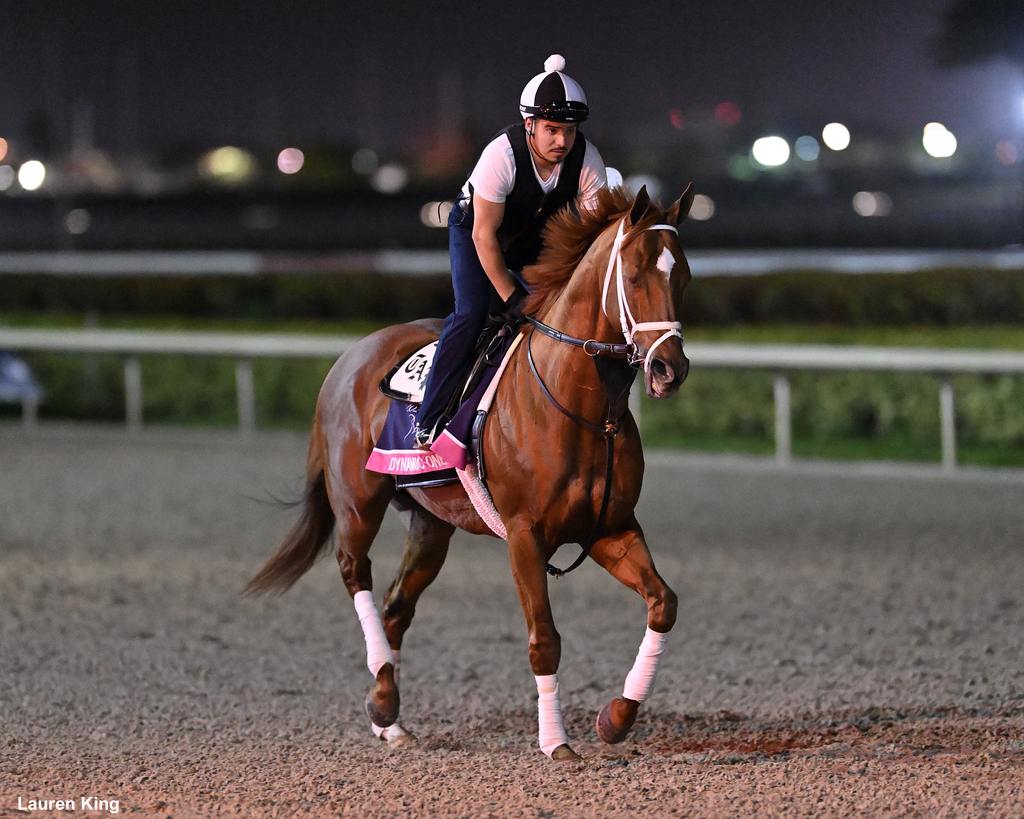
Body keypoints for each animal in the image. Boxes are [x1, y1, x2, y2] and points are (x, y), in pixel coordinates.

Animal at [247, 185, 696, 761]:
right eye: (636, 274)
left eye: (682, 275)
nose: (669, 370)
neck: (580, 406)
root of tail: (349, 356)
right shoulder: (525, 535)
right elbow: (544, 640)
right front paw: (556, 743)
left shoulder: (610, 527)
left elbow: (663, 603)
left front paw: (616, 719)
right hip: (357, 502)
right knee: (355, 574)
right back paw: (381, 693)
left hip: (430, 523)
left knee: (397, 605)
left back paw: (387, 712)